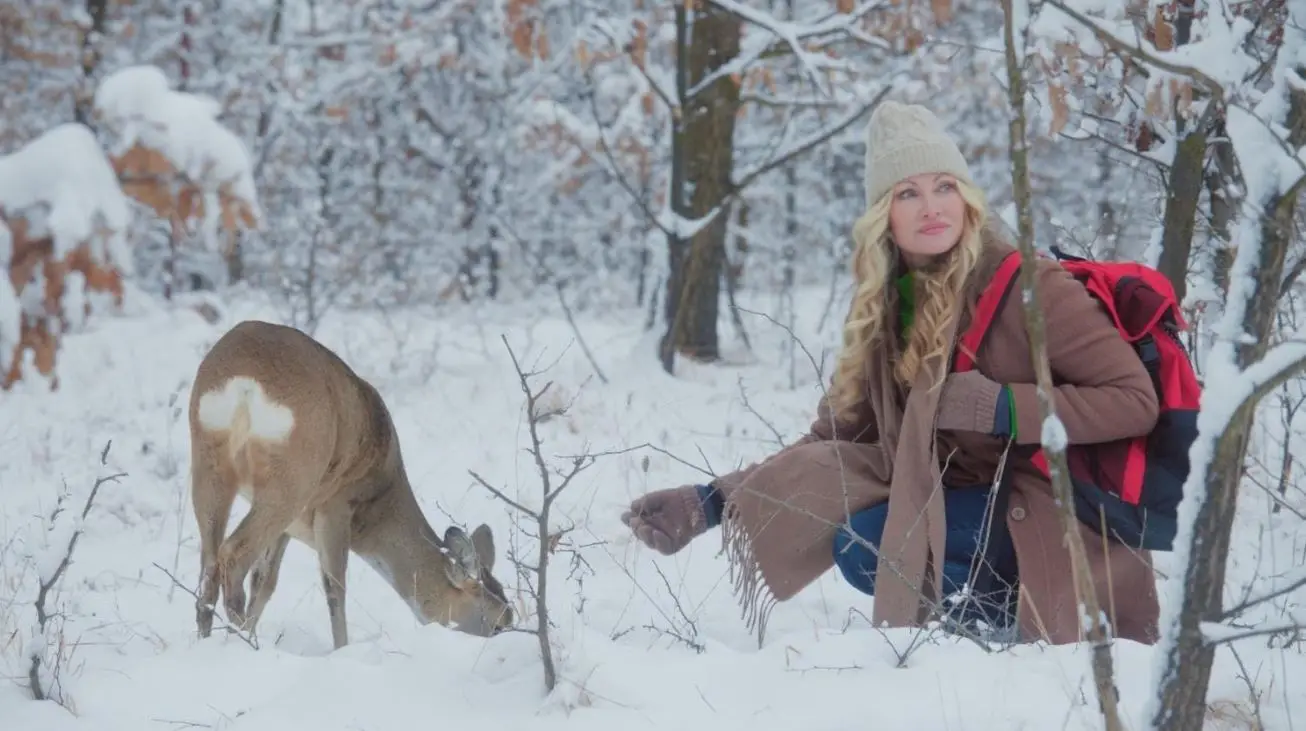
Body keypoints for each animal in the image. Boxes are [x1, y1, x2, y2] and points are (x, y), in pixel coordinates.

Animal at [189, 317, 514, 647]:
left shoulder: (291, 527)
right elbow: (335, 586)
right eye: (498, 623)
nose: (509, 636)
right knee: (234, 553)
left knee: (210, 566)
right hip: (293, 477)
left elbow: (265, 580)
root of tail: (244, 385)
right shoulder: (336, 504)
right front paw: (341, 648)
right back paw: (243, 641)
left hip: (209, 463)